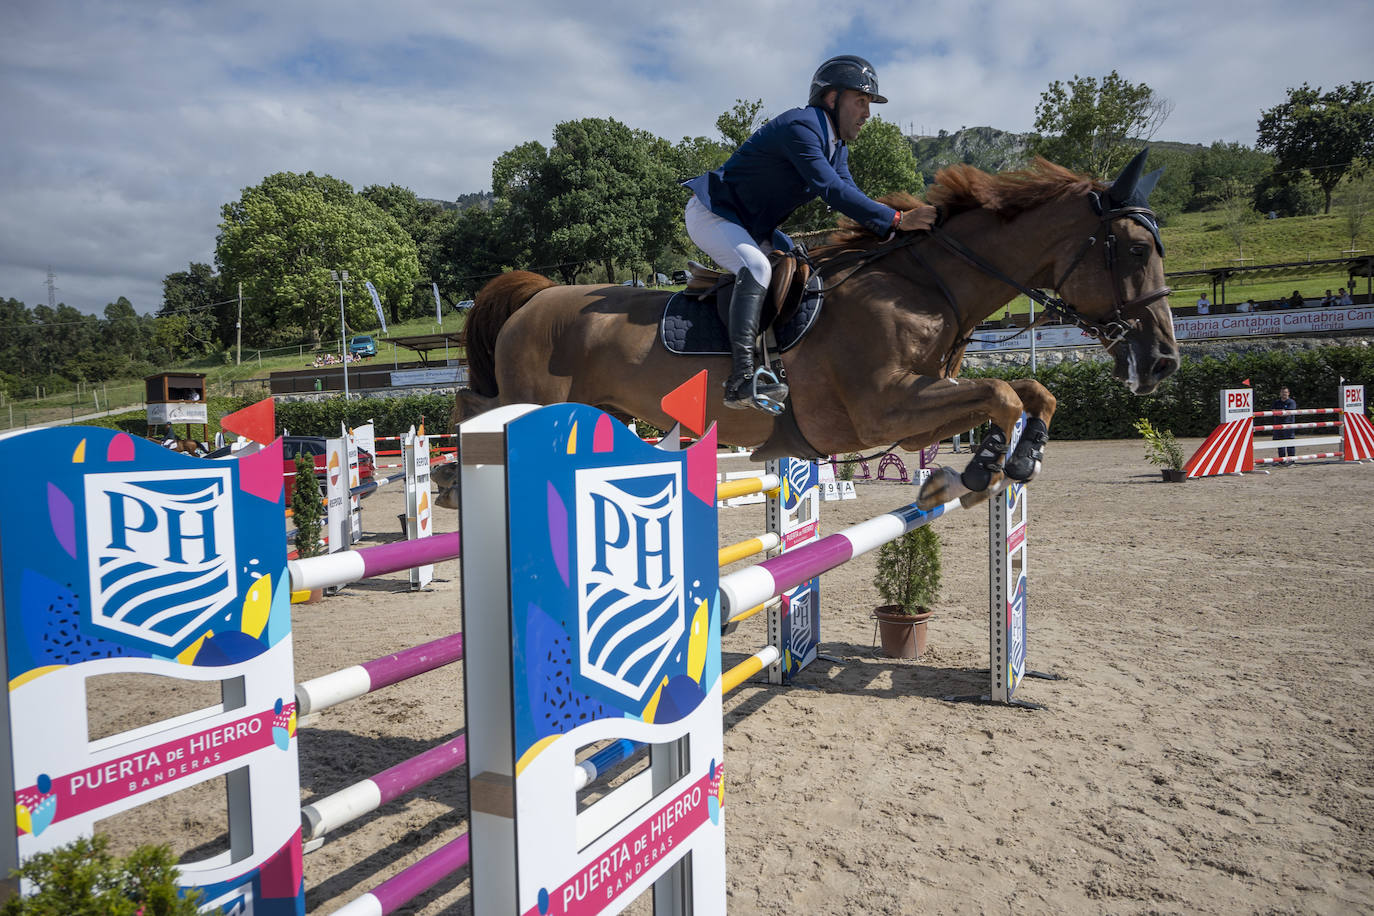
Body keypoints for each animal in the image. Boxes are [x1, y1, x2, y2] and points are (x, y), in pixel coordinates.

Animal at [439, 152, 1181, 508]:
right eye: (1133, 251)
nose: (1164, 362)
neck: (924, 286)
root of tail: (538, 296)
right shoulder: (883, 409)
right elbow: (1002, 394)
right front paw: (979, 472)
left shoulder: (916, 410)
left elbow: (1030, 392)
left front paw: (1011, 464)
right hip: (530, 397)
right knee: (472, 408)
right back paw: (448, 483)